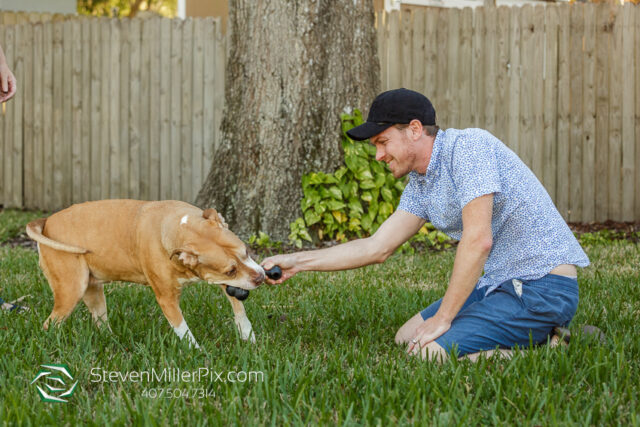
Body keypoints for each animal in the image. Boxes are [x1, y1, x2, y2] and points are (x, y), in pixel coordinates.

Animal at [26, 199, 264, 350]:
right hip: (71, 291)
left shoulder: (220, 277)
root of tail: (46, 221)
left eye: (246, 252)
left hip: (93, 291)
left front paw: (247, 334)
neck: (178, 228)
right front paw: (197, 351)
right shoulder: (167, 298)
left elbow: (238, 306)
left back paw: (112, 341)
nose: (261, 277)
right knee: (50, 324)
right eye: (230, 270)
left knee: (100, 321)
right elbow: (182, 329)